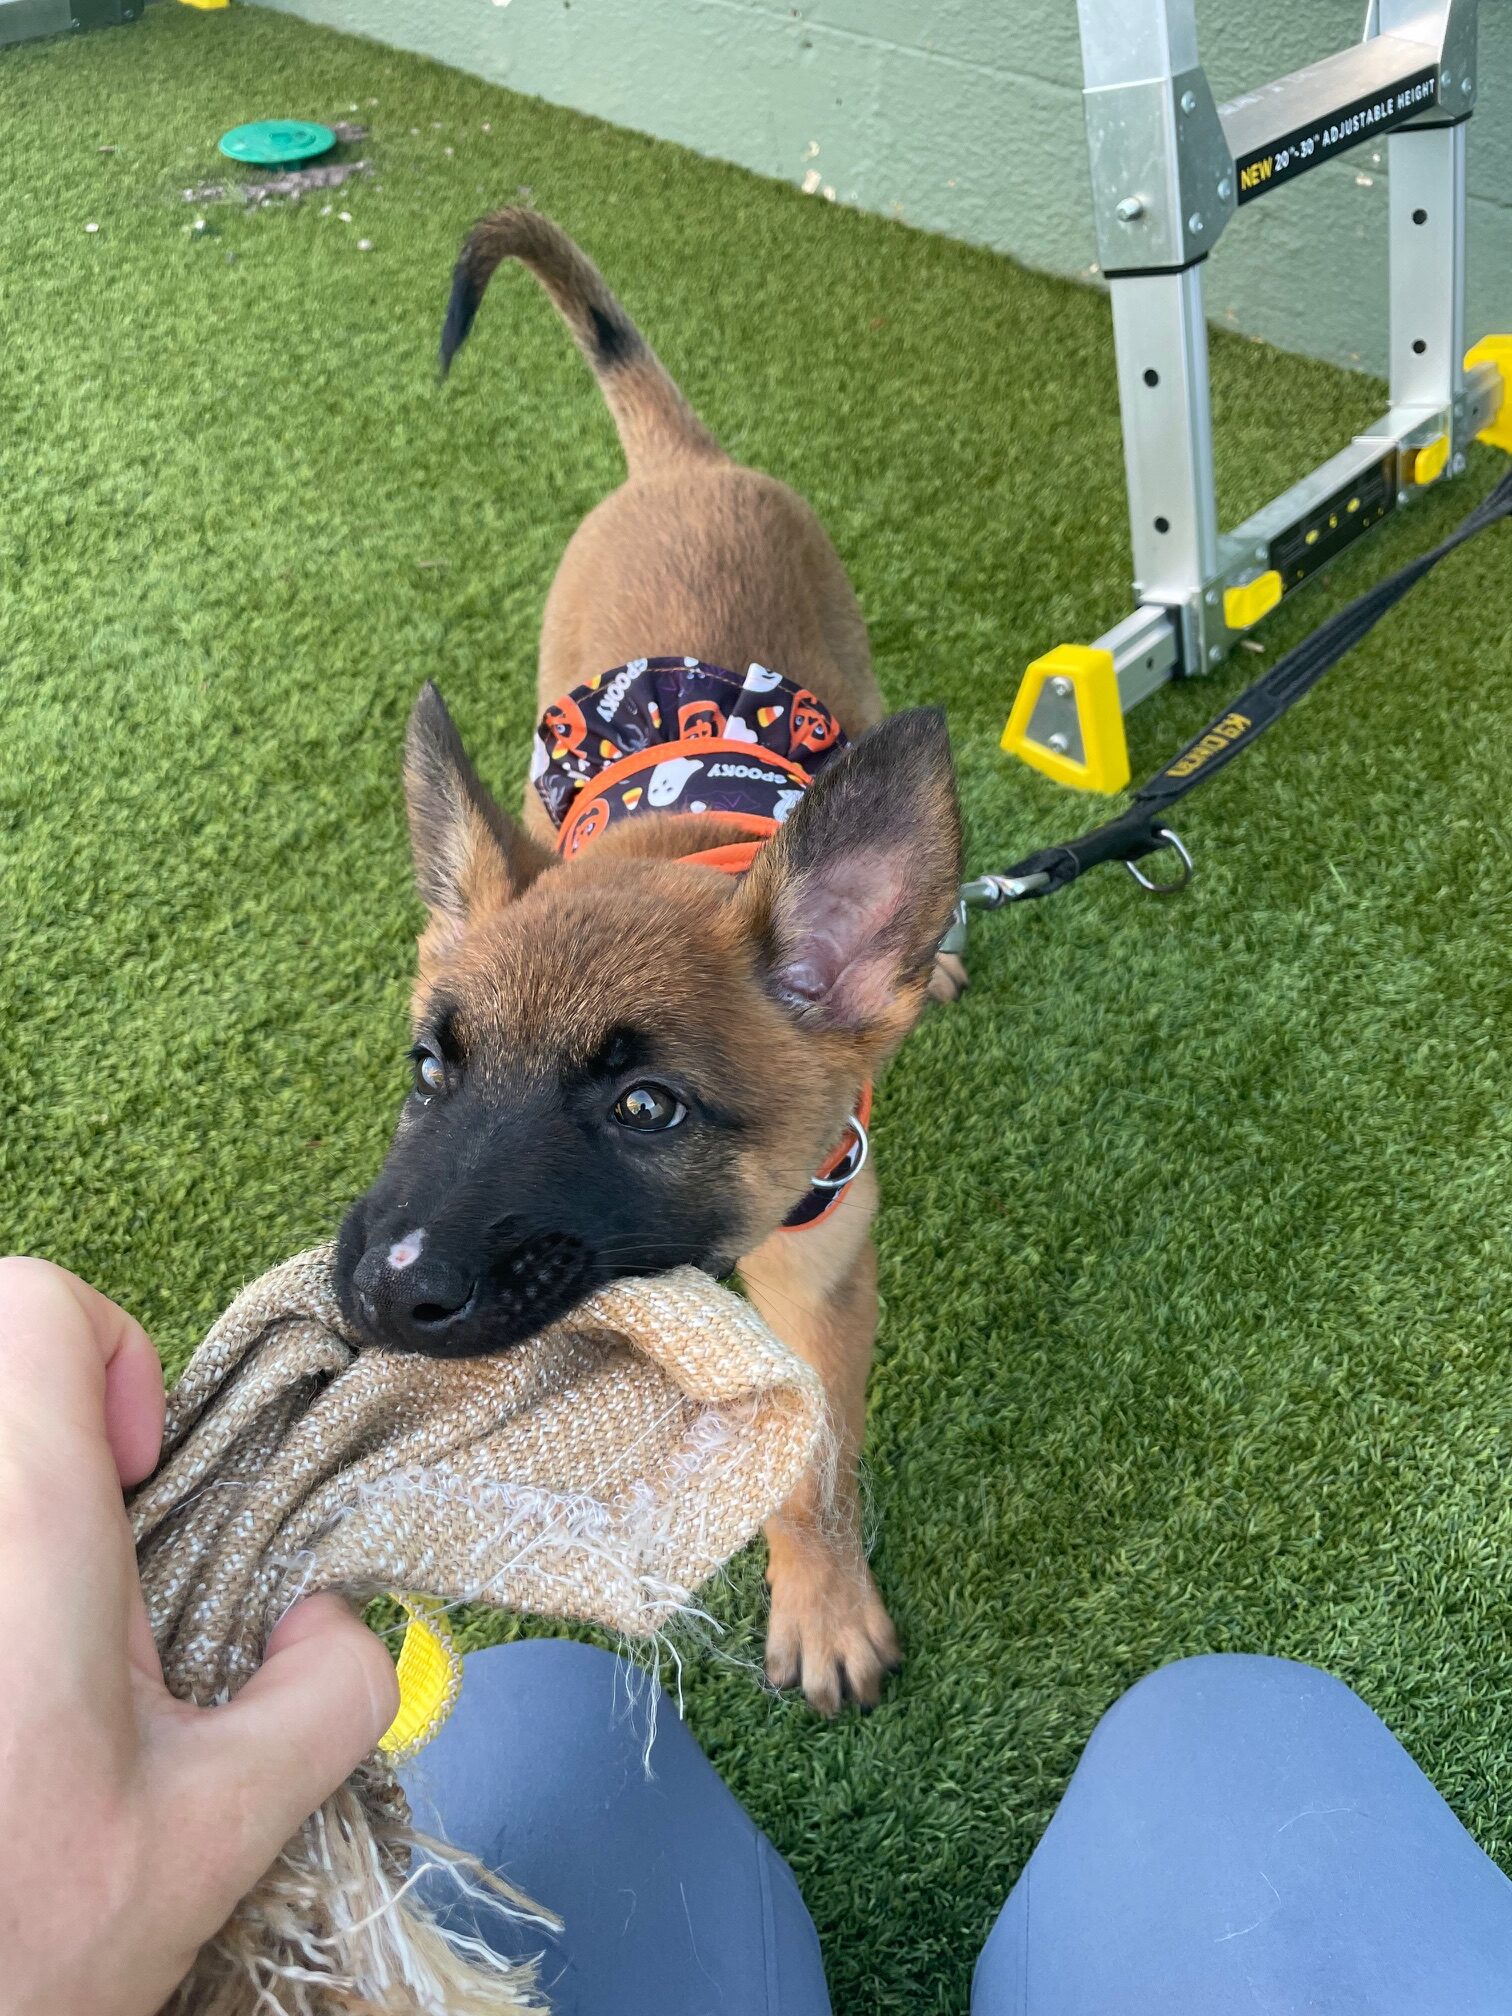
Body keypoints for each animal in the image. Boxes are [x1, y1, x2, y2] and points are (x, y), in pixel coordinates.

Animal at [335, 210, 963, 1713]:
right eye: (430, 1067)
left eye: (645, 1107)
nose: (378, 1294)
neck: (672, 849)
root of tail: (683, 468)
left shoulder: (819, 1272)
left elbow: (815, 1461)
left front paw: (822, 1604)